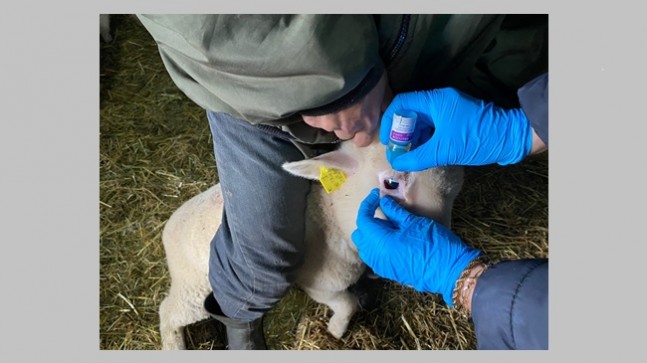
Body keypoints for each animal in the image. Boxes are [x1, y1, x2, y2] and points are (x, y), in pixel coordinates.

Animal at [159, 139, 464, 350]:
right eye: (391, 183)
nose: (440, 241)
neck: (331, 213)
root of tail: (168, 226)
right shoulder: (319, 282)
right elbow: (347, 304)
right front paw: (335, 330)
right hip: (193, 286)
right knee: (168, 311)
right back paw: (174, 346)